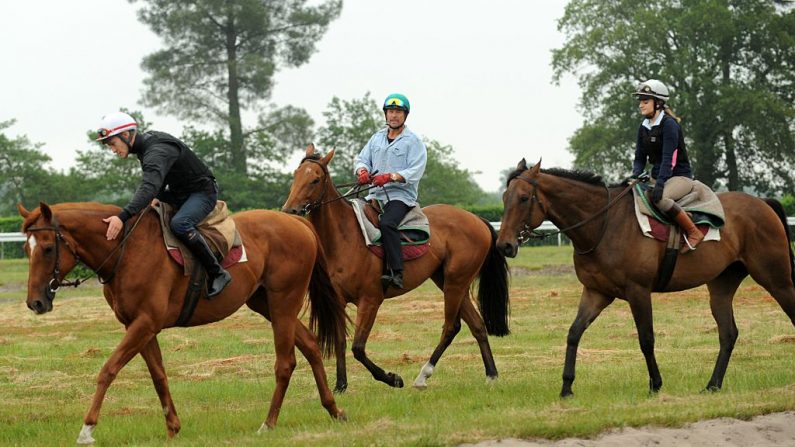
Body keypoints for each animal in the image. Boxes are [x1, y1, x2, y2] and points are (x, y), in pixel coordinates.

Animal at [17, 202, 346, 444]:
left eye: (47, 248)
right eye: (26, 250)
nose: (36, 302)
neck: (126, 249)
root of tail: (298, 223)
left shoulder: (144, 324)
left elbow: (108, 370)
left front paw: (87, 430)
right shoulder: (140, 327)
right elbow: (158, 375)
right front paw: (173, 427)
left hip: (283, 303)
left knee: (285, 363)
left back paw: (269, 423)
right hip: (268, 305)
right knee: (311, 346)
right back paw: (333, 409)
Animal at [282, 146, 512, 392]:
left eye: (315, 179)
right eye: (295, 176)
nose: (289, 210)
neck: (346, 237)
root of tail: (477, 220)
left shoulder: (370, 300)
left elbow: (358, 348)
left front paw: (392, 378)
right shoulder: (338, 301)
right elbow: (341, 342)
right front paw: (341, 385)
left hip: (455, 284)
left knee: (451, 327)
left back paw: (422, 376)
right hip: (449, 282)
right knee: (477, 325)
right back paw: (491, 374)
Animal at [498, 159, 795, 398]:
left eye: (523, 198)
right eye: (504, 198)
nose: (504, 245)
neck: (603, 224)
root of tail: (763, 203)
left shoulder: (638, 291)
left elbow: (646, 338)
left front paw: (655, 384)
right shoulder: (596, 292)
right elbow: (574, 333)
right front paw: (567, 387)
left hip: (776, 279)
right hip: (721, 286)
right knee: (728, 333)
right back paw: (712, 385)